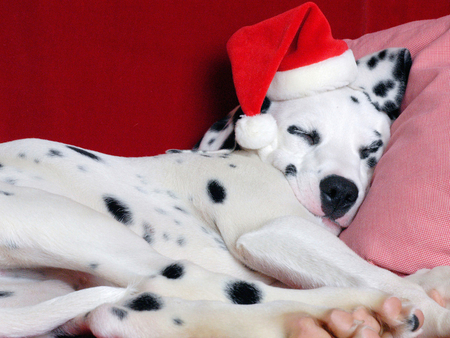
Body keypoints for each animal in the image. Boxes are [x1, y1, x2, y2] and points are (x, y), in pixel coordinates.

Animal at [0, 48, 448, 338]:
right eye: (302, 133)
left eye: (372, 148)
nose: (340, 192)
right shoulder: (277, 232)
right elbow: (381, 276)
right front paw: (431, 307)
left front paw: (433, 276)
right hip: (83, 229)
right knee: (199, 284)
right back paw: (365, 310)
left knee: (119, 314)